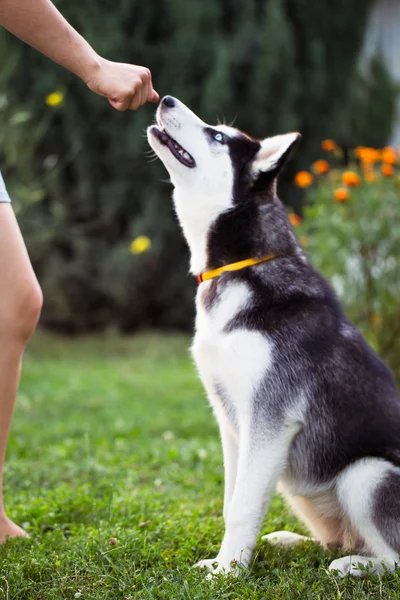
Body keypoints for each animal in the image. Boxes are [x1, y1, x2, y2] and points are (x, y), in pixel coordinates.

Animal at [147, 96, 400, 580]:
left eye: (218, 136)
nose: (164, 99)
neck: (241, 269)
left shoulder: (271, 418)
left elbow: (243, 507)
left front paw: (228, 573)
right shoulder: (230, 421)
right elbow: (233, 502)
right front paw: (226, 560)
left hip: (365, 473)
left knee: (390, 556)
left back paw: (354, 565)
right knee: (334, 536)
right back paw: (290, 541)